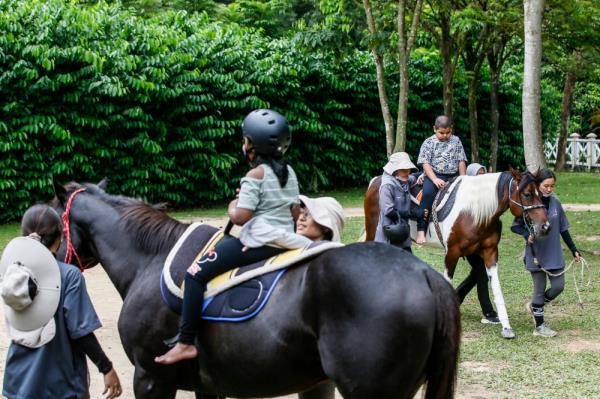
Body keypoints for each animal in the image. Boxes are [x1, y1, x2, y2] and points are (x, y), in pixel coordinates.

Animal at [364, 170, 552, 340]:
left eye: (541, 194)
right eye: (527, 194)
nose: (545, 226)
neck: (474, 212)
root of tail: (376, 180)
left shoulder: (489, 252)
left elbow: (495, 287)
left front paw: (506, 327)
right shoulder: (452, 253)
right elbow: (448, 280)